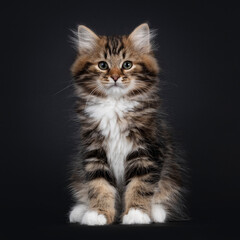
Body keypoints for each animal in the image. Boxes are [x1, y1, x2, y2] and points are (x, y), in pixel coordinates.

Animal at [68, 23, 187, 224]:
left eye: (127, 65)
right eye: (103, 65)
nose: (115, 77)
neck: (115, 105)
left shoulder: (147, 151)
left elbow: (140, 186)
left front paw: (136, 213)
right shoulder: (94, 152)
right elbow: (99, 186)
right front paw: (97, 213)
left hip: (171, 174)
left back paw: (156, 212)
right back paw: (81, 210)